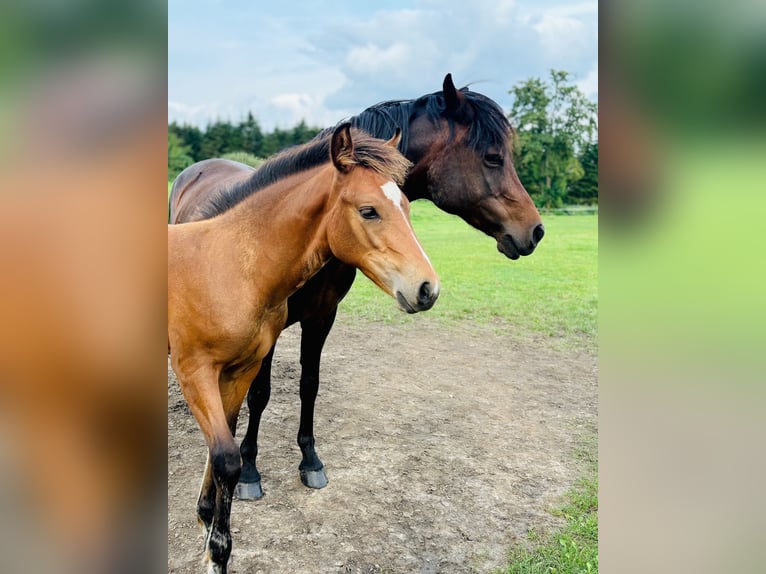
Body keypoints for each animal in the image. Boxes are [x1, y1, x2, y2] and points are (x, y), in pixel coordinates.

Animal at [170, 73, 544, 500]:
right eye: (493, 157)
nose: (535, 230)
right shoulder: (269, 330)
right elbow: (260, 393)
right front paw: (250, 471)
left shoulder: (322, 317)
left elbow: (309, 385)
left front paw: (310, 461)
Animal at [170, 124, 440, 572]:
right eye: (369, 211)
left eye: (405, 205)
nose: (427, 289)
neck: (231, 267)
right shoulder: (193, 371)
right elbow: (227, 457)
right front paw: (216, 552)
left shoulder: (240, 370)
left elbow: (222, 446)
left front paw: (205, 521)